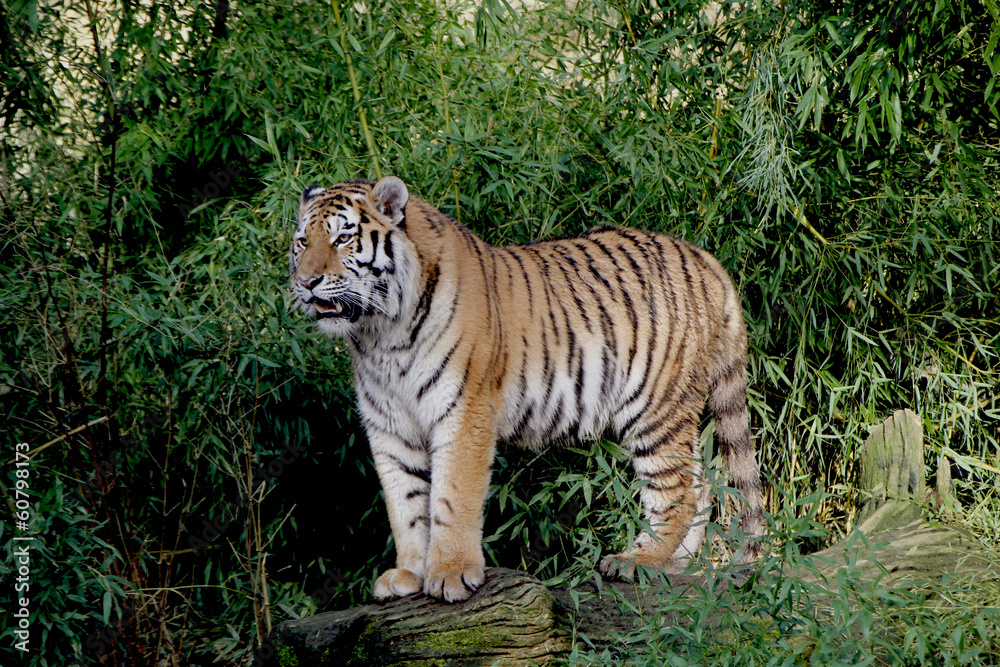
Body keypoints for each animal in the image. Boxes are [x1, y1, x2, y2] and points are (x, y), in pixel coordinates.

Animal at [289, 175, 765, 603]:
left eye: (343, 238)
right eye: (301, 243)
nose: (306, 282)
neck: (380, 335)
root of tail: (705, 258)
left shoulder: (463, 411)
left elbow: (452, 496)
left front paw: (451, 575)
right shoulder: (389, 426)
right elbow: (404, 504)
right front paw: (408, 574)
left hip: (657, 405)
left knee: (678, 488)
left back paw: (640, 560)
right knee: (702, 483)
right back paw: (678, 565)